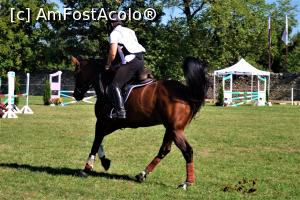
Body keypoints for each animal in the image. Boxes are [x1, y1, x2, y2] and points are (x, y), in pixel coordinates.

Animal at [72, 56, 209, 189]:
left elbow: (96, 142)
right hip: (171, 129)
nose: (76, 95)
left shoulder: (102, 121)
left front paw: (87, 168)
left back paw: (187, 182)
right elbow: (99, 140)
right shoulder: (113, 124)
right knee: (164, 150)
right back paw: (142, 174)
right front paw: (105, 162)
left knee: (187, 151)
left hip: (176, 130)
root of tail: (186, 92)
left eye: (76, 74)